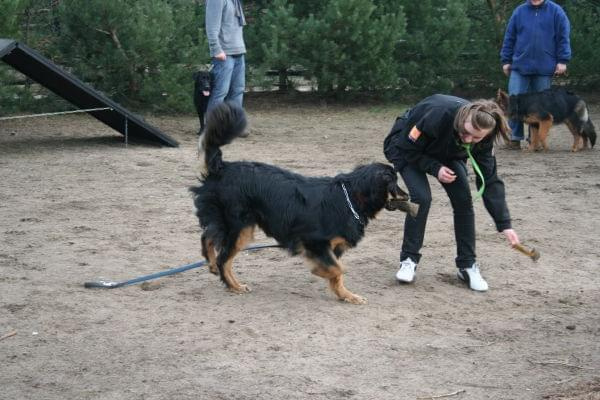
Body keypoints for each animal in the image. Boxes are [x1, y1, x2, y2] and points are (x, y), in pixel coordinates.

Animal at [190, 102, 414, 304]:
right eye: (395, 181)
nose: (408, 195)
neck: (350, 197)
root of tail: (222, 168)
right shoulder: (315, 242)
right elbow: (338, 269)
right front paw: (321, 273)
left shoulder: (332, 247)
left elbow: (337, 274)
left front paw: (346, 295)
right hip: (240, 227)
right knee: (223, 258)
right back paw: (234, 285)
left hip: (231, 223)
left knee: (208, 236)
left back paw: (212, 264)